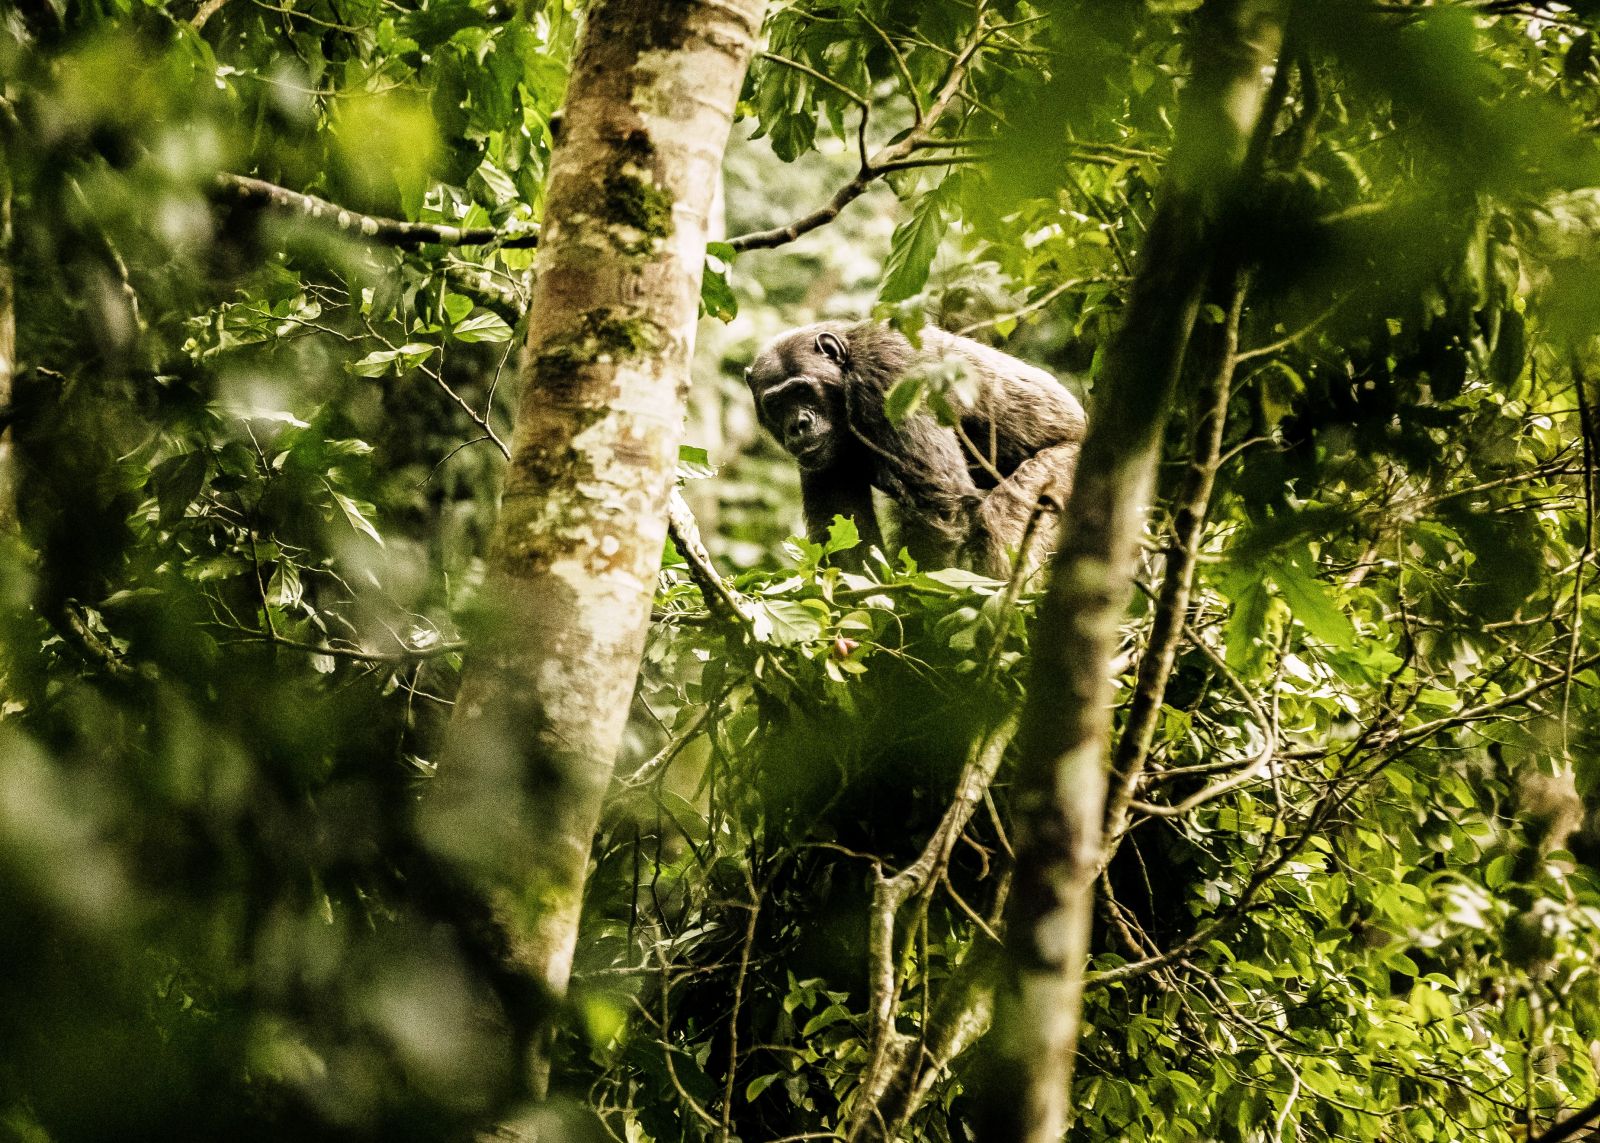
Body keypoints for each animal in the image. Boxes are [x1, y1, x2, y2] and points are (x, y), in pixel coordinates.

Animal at [748, 318, 1088, 569]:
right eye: (777, 403)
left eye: (801, 391)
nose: (798, 425)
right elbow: (845, 533)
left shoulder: (889, 375)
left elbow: (938, 505)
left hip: (1066, 468)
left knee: (1006, 517)